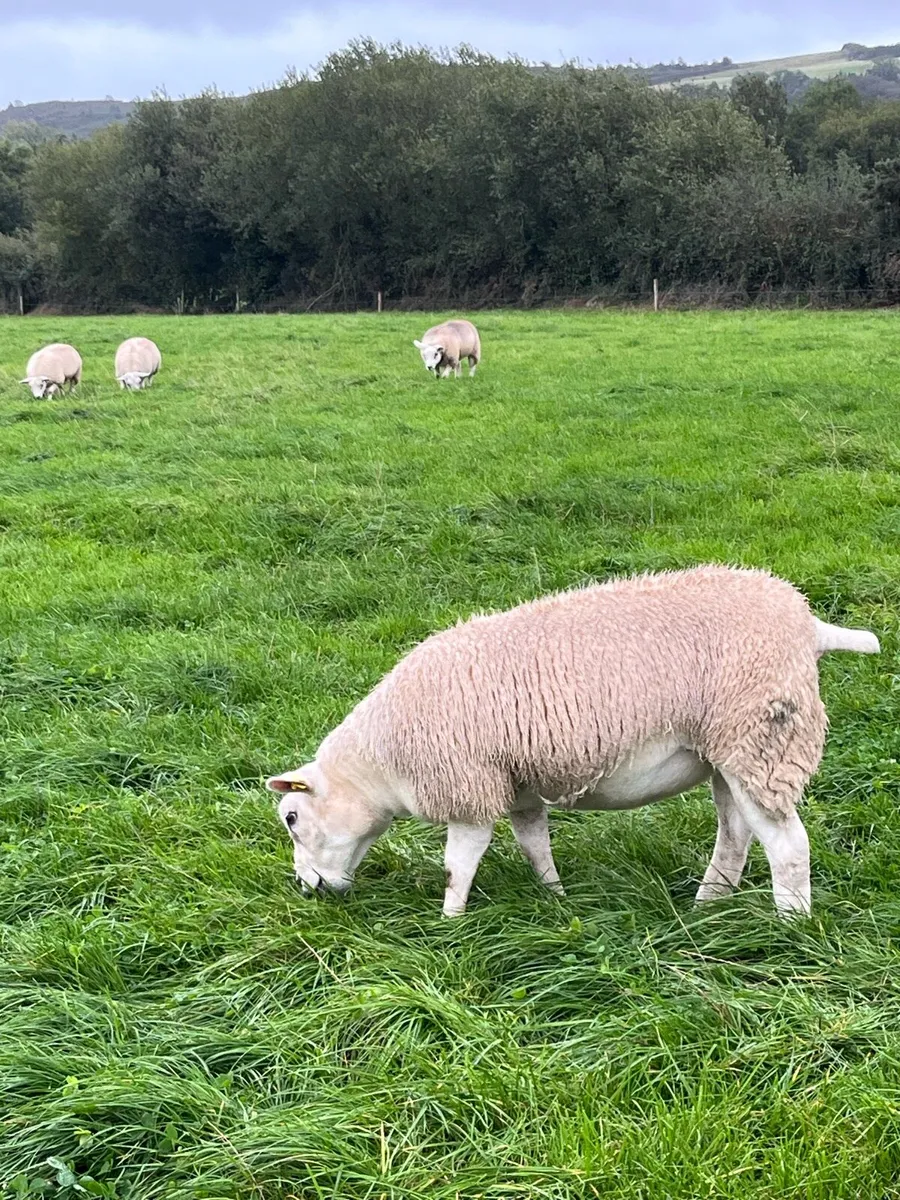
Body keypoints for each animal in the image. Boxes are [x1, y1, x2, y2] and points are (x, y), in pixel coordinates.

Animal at [266, 566, 879, 918]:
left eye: (292, 818)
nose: (303, 888)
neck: (381, 764)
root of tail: (809, 623)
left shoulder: (469, 788)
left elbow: (458, 863)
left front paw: (450, 921)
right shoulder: (516, 786)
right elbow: (535, 845)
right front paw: (555, 899)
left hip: (762, 737)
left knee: (788, 846)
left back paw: (790, 925)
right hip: (727, 753)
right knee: (735, 836)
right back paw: (708, 906)